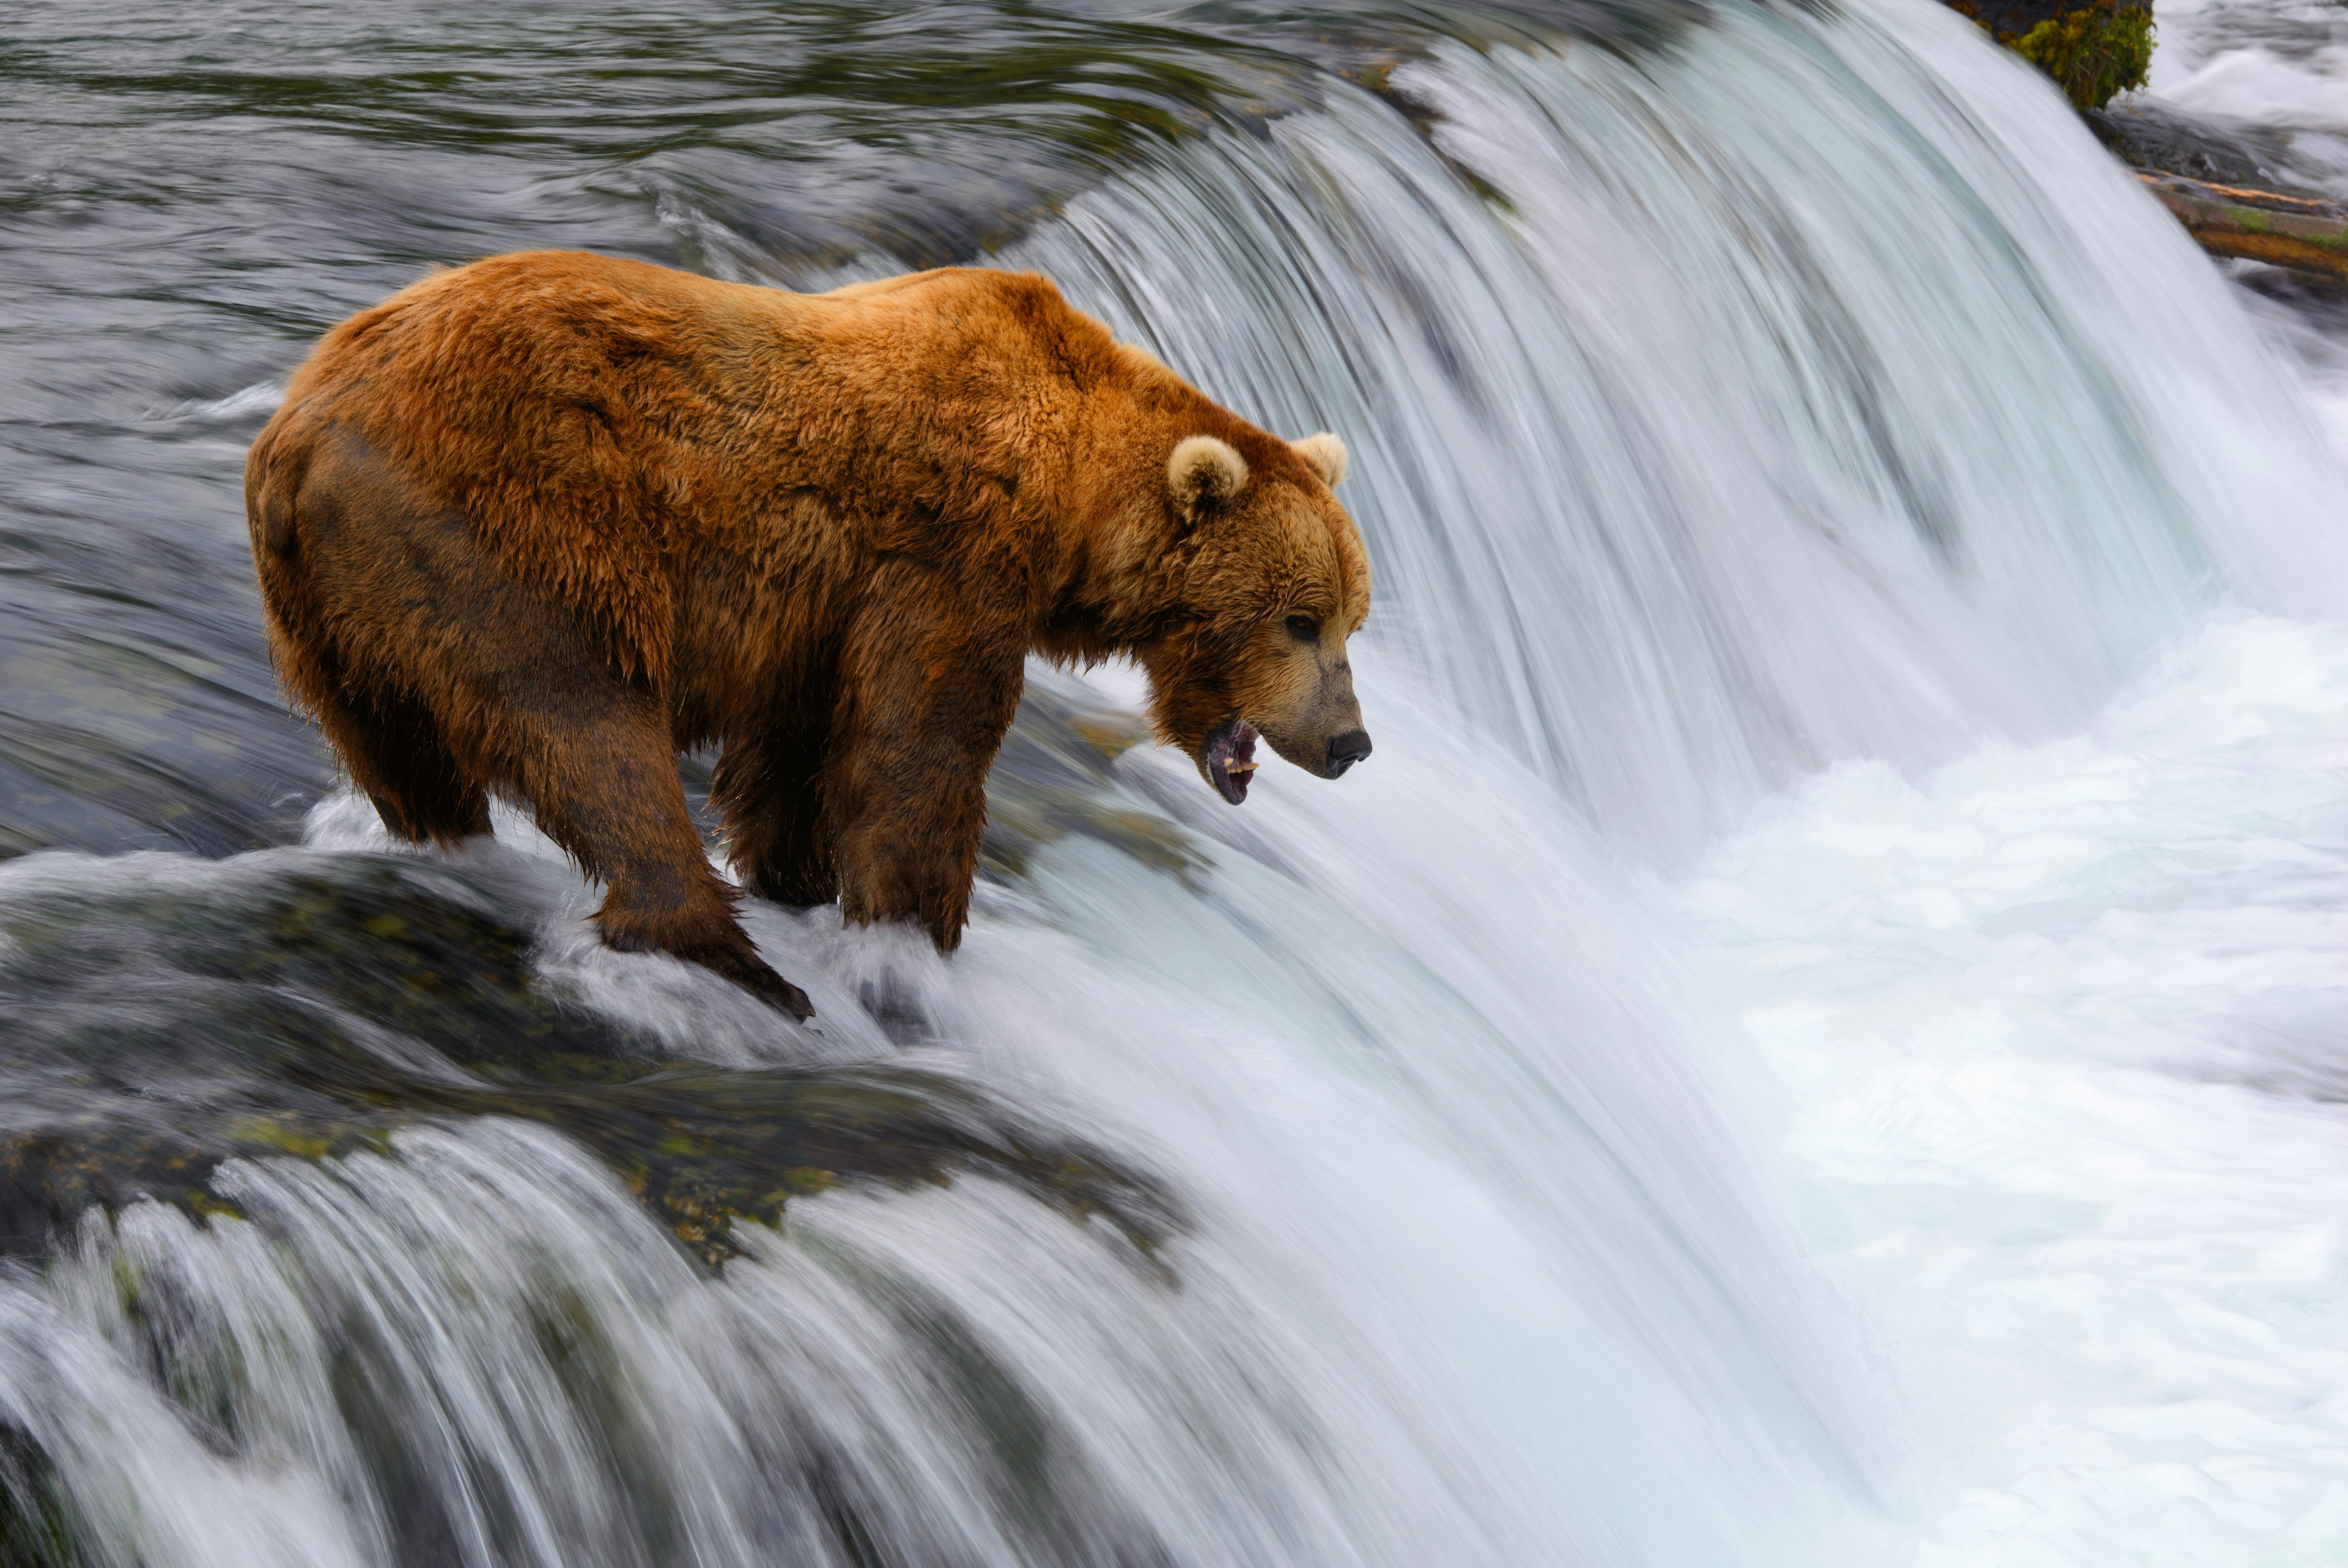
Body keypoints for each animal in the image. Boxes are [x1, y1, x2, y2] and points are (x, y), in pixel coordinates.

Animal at [243, 251, 1371, 1018]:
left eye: (1353, 616)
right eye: (1298, 619)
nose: (1351, 742)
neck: (1073, 501)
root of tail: (297, 427)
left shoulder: (817, 615)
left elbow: (796, 761)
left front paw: (802, 882)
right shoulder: (947, 563)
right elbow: (915, 759)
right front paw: (914, 938)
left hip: (331, 616)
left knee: (404, 753)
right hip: (508, 533)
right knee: (584, 726)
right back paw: (735, 963)